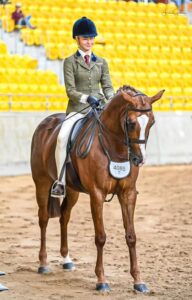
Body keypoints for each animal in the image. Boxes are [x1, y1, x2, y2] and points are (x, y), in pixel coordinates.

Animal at [30, 85, 164, 292]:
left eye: (152, 122)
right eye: (131, 123)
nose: (139, 160)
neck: (114, 147)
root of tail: (46, 122)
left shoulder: (128, 194)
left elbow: (131, 236)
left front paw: (138, 281)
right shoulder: (97, 194)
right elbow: (100, 237)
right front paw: (101, 280)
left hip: (72, 191)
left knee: (64, 217)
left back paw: (66, 259)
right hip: (42, 183)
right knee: (43, 219)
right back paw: (43, 264)